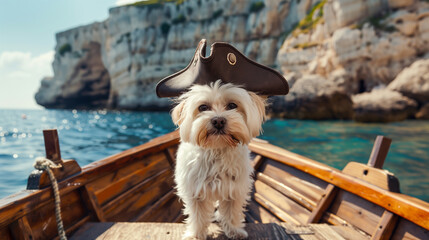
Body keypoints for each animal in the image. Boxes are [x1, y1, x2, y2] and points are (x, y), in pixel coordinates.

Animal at [170, 80, 264, 238]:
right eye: (203, 107)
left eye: (232, 105)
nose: (218, 120)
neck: (217, 149)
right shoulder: (194, 190)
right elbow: (197, 216)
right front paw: (196, 235)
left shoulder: (234, 189)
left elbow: (232, 212)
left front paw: (234, 231)